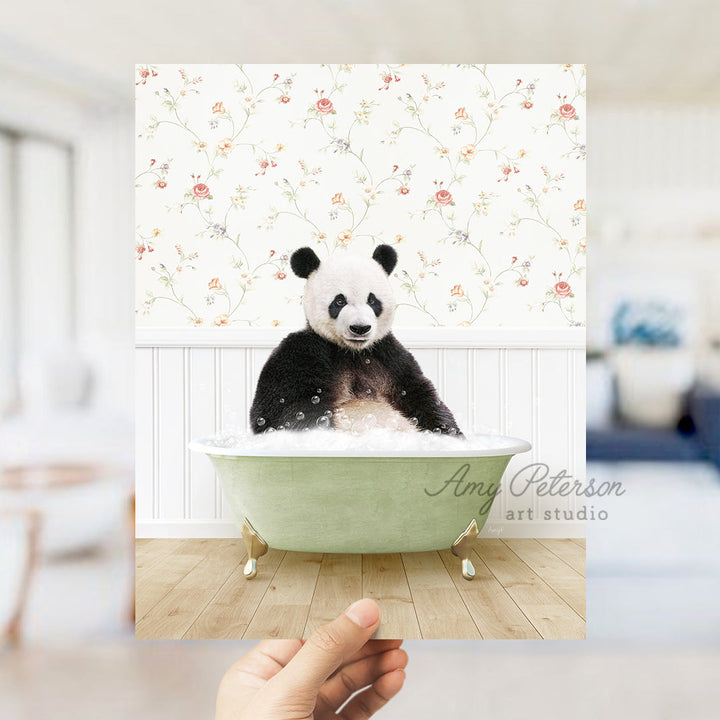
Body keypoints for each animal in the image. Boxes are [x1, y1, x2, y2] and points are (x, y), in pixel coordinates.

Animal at [248, 245, 462, 436]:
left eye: (372, 300)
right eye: (339, 301)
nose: (360, 328)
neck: (353, 352)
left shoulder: (389, 357)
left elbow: (420, 396)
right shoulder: (303, 353)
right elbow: (283, 409)